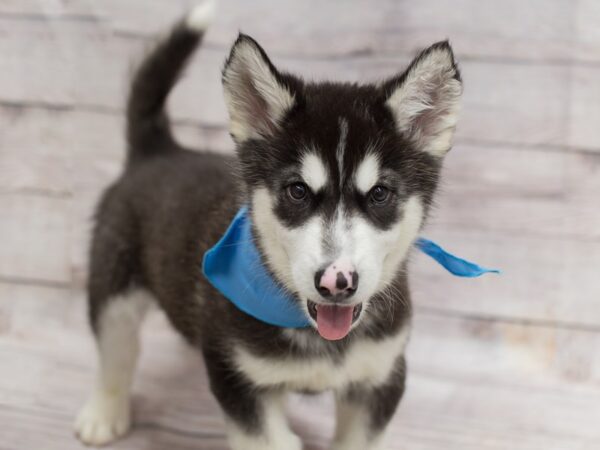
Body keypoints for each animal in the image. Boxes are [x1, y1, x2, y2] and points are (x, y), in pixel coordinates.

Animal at [72, 1, 462, 448]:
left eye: (380, 194)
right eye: (297, 191)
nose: (337, 283)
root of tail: (158, 150)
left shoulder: (381, 376)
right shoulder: (237, 378)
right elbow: (266, 437)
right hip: (113, 283)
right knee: (116, 348)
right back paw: (103, 412)